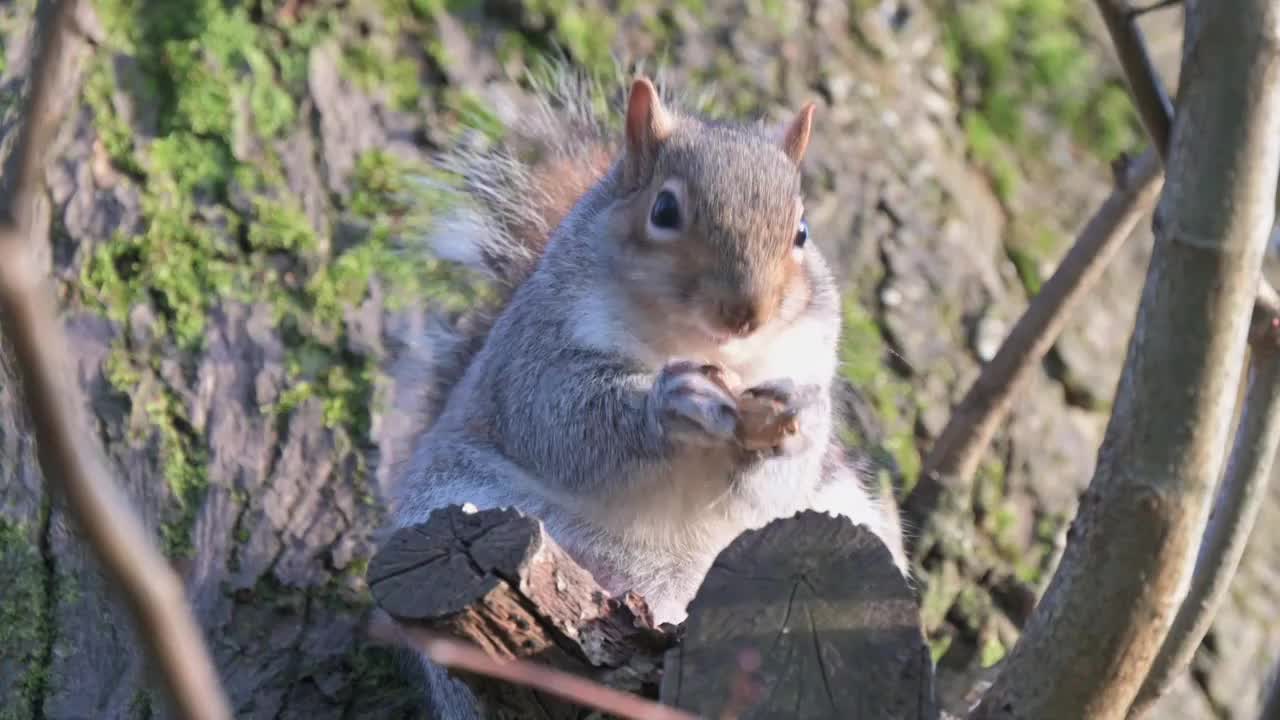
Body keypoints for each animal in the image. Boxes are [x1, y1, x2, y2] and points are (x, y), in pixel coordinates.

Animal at [384, 65, 906, 712]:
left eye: (802, 232)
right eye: (664, 209)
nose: (746, 313)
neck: (709, 351)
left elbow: (775, 481)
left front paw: (796, 423)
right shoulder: (535, 355)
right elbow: (560, 420)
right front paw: (671, 406)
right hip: (458, 513)